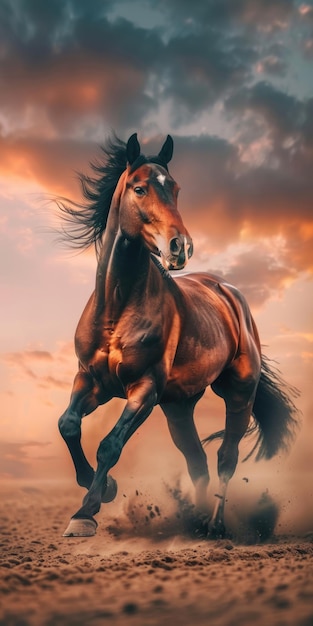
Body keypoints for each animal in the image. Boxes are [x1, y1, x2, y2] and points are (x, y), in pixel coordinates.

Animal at [57, 133, 298, 536]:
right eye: (139, 188)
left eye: (176, 189)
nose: (180, 246)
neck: (117, 308)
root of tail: (230, 295)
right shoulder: (91, 380)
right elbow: (69, 425)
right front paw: (104, 489)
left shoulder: (144, 389)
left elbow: (110, 445)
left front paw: (86, 511)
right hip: (178, 407)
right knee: (197, 461)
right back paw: (194, 521)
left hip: (238, 394)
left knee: (225, 458)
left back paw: (215, 525)